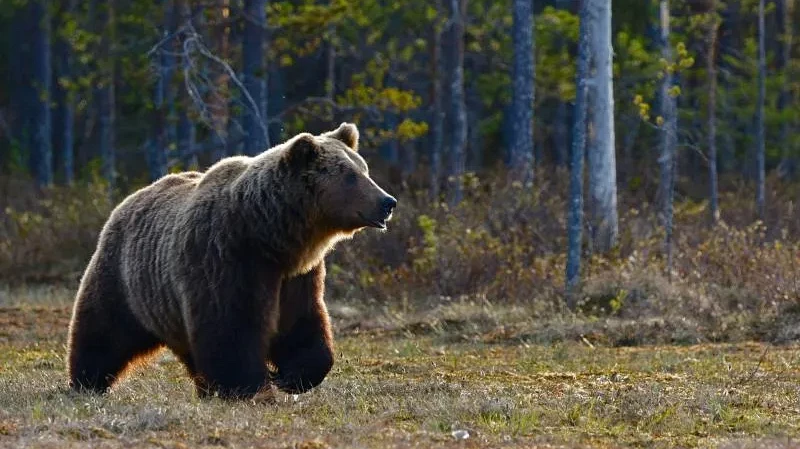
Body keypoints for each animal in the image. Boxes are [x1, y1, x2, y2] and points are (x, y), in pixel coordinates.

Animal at [66, 123, 396, 400]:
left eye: (364, 169)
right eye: (350, 176)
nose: (387, 201)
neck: (271, 236)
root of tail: (129, 199)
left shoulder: (296, 276)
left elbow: (302, 324)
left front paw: (291, 376)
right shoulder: (227, 258)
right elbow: (230, 328)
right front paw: (248, 386)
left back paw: (203, 388)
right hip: (125, 279)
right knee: (103, 330)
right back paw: (87, 381)